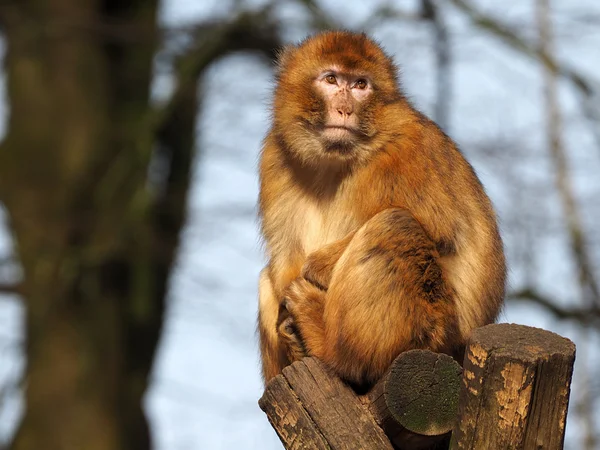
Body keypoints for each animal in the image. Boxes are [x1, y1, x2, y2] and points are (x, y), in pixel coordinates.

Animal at [258, 31, 506, 388]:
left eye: (361, 84)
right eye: (331, 79)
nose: (345, 108)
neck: (336, 160)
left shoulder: (407, 151)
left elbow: (440, 231)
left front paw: (316, 267)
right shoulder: (276, 156)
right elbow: (283, 258)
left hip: (430, 333)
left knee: (394, 225)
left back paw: (328, 344)